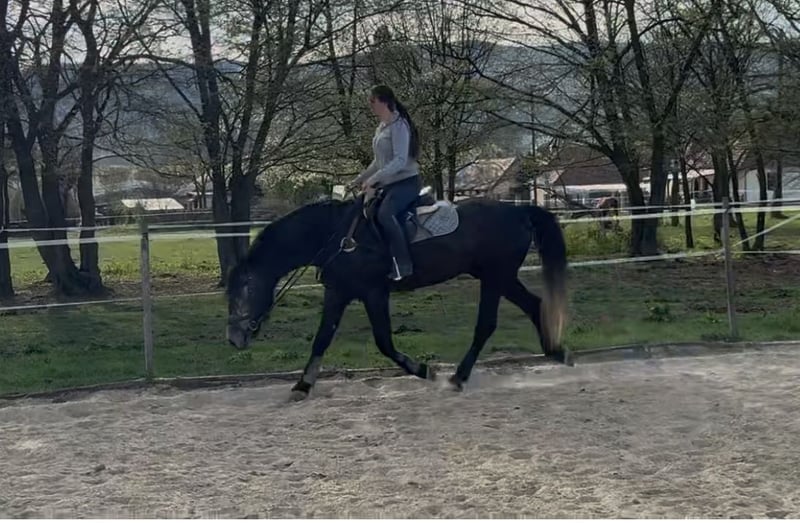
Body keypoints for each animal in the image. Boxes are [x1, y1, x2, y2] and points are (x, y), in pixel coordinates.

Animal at [225, 189, 570, 401]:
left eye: (245, 288)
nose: (234, 338)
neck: (336, 237)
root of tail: (518, 212)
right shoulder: (338, 292)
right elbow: (322, 339)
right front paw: (302, 385)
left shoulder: (374, 292)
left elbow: (384, 342)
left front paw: (424, 370)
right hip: (500, 278)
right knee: (535, 306)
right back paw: (556, 351)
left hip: (495, 278)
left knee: (486, 324)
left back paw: (458, 377)